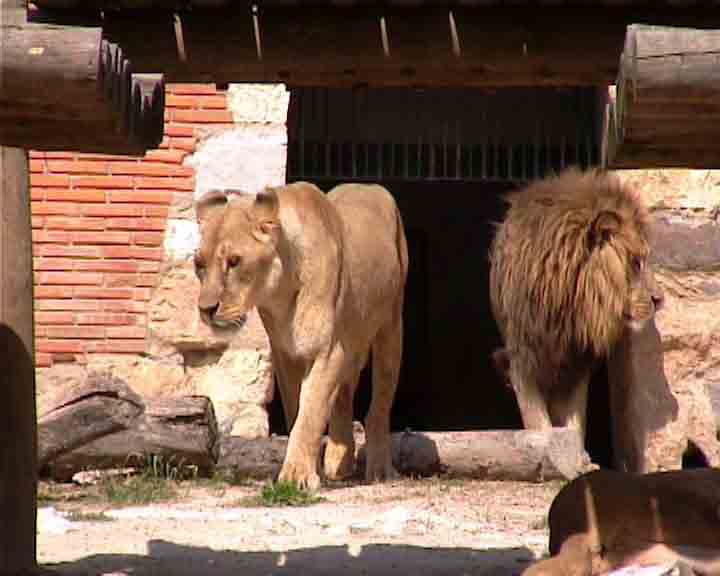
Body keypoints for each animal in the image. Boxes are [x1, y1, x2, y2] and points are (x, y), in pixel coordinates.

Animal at [194, 181, 408, 490]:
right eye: (199, 264)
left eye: (234, 261)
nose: (206, 309)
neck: (280, 292)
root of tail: (368, 185)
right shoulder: (286, 356)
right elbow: (298, 411)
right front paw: (311, 468)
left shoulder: (327, 351)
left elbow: (310, 413)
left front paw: (296, 475)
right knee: (343, 395)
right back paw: (339, 463)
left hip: (390, 327)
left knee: (379, 403)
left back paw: (379, 469)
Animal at [489, 168, 663, 441]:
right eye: (635, 262)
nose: (660, 299)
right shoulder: (523, 361)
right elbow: (538, 422)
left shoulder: (575, 366)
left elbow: (574, 425)